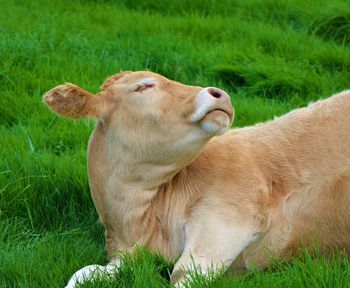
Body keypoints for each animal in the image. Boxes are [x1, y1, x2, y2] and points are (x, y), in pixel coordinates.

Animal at [43, 70, 350, 288]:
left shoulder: (228, 218)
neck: (138, 224)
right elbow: (83, 273)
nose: (220, 94)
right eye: (143, 86)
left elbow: (181, 275)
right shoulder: (127, 254)